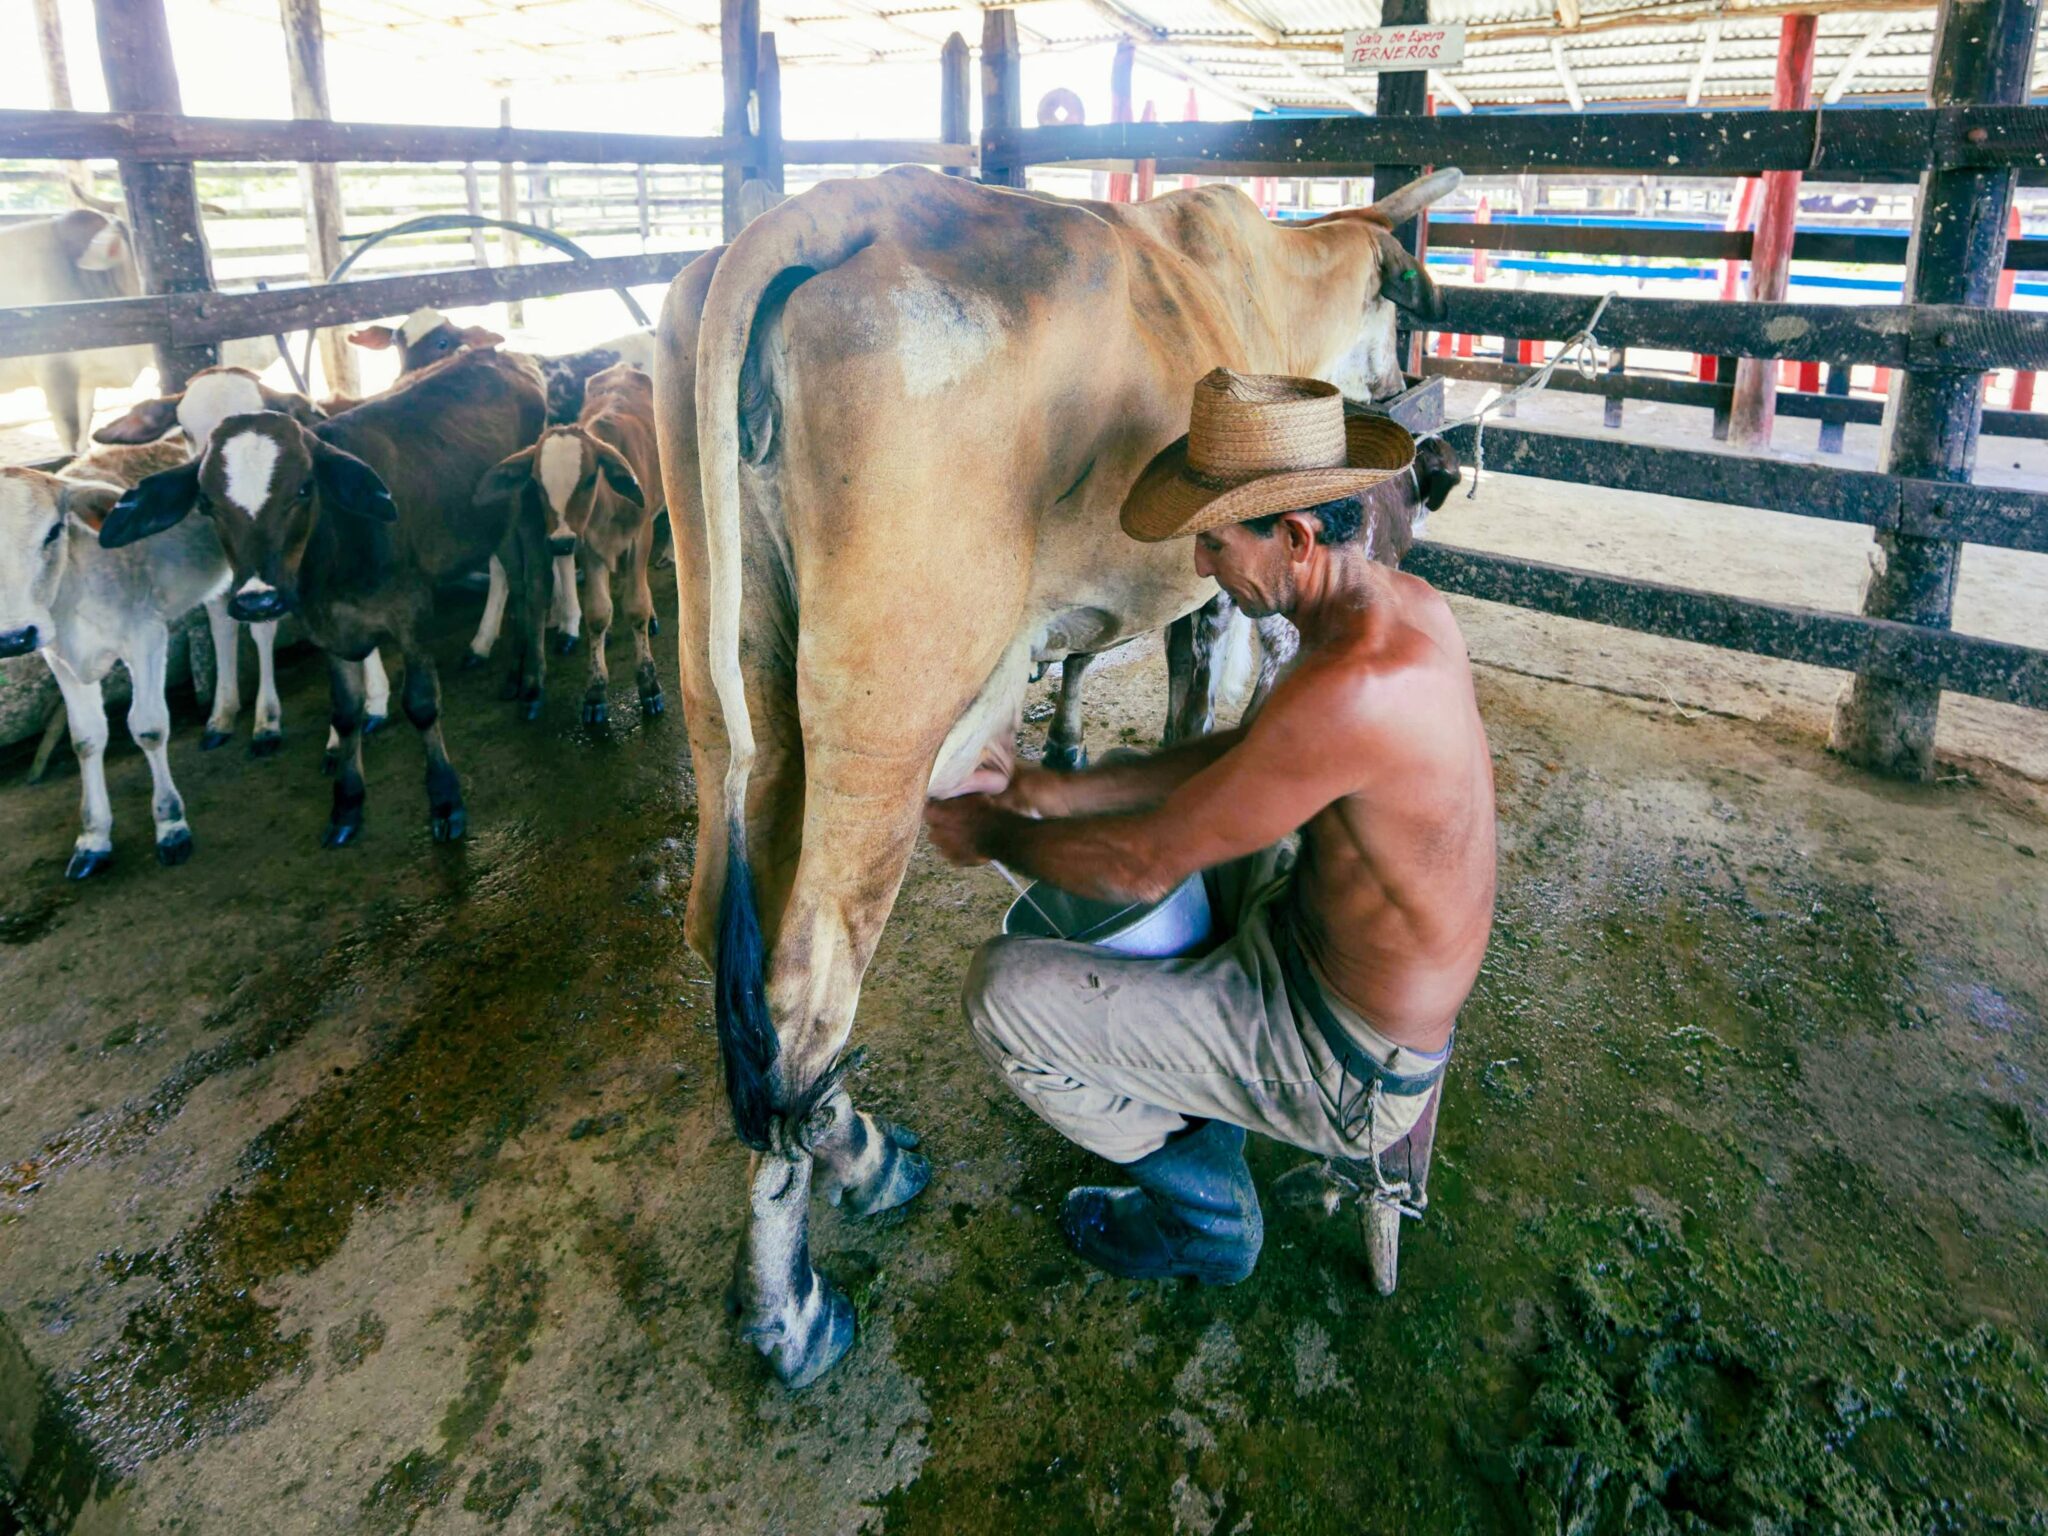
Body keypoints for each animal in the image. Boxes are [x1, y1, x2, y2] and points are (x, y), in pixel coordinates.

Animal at [99, 348, 548, 847]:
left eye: (303, 488)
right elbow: (346, 712)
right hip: (495, 525)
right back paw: (515, 676)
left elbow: (421, 703)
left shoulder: (411, 611)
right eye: (207, 503)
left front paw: (446, 800)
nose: (257, 601)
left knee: (535, 589)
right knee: (516, 584)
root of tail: (502, 353)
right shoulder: (325, 624)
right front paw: (347, 804)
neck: (339, 548)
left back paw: (533, 689)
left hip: (529, 506)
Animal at [477, 362, 663, 729]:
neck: (609, 504)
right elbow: (597, 613)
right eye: (537, 482)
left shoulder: (641, 535)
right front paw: (595, 693)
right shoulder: (588, 547)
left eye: (590, 478)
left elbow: (636, 605)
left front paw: (649, 685)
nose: (561, 540)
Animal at [655, 162, 1458, 1392]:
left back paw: (865, 1159)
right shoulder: (1218, 587)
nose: (1432, 455)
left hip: (729, 683)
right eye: (1408, 316)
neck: (1263, 282)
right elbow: (1205, 694)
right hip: (888, 713)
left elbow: (1105, 664)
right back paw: (791, 1306)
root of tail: (824, 209)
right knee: (803, 992)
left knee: (720, 939)